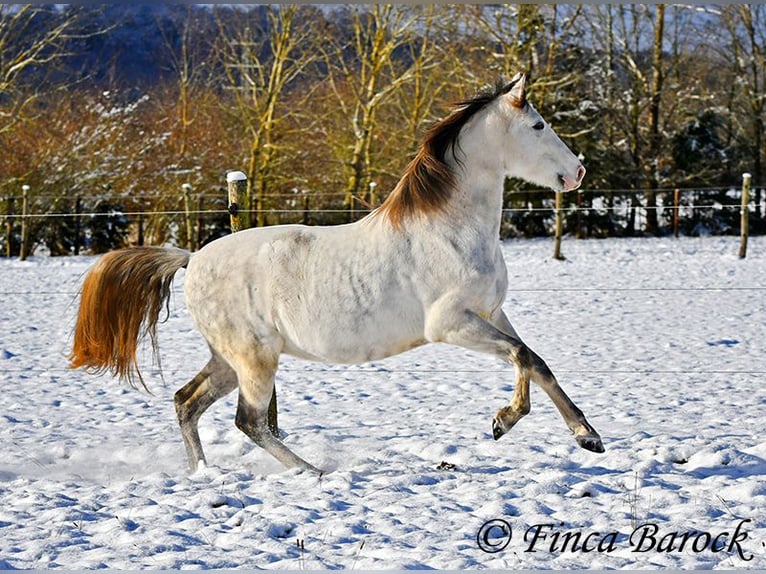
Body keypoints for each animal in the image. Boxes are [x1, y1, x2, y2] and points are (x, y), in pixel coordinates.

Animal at [69, 74, 608, 474]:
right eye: (538, 125)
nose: (577, 173)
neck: (450, 229)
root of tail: (191, 258)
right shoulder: (450, 324)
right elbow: (521, 356)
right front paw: (505, 421)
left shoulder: (491, 312)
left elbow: (535, 361)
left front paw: (586, 436)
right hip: (254, 360)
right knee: (250, 421)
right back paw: (311, 471)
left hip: (227, 359)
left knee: (186, 402)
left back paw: (204, 473)